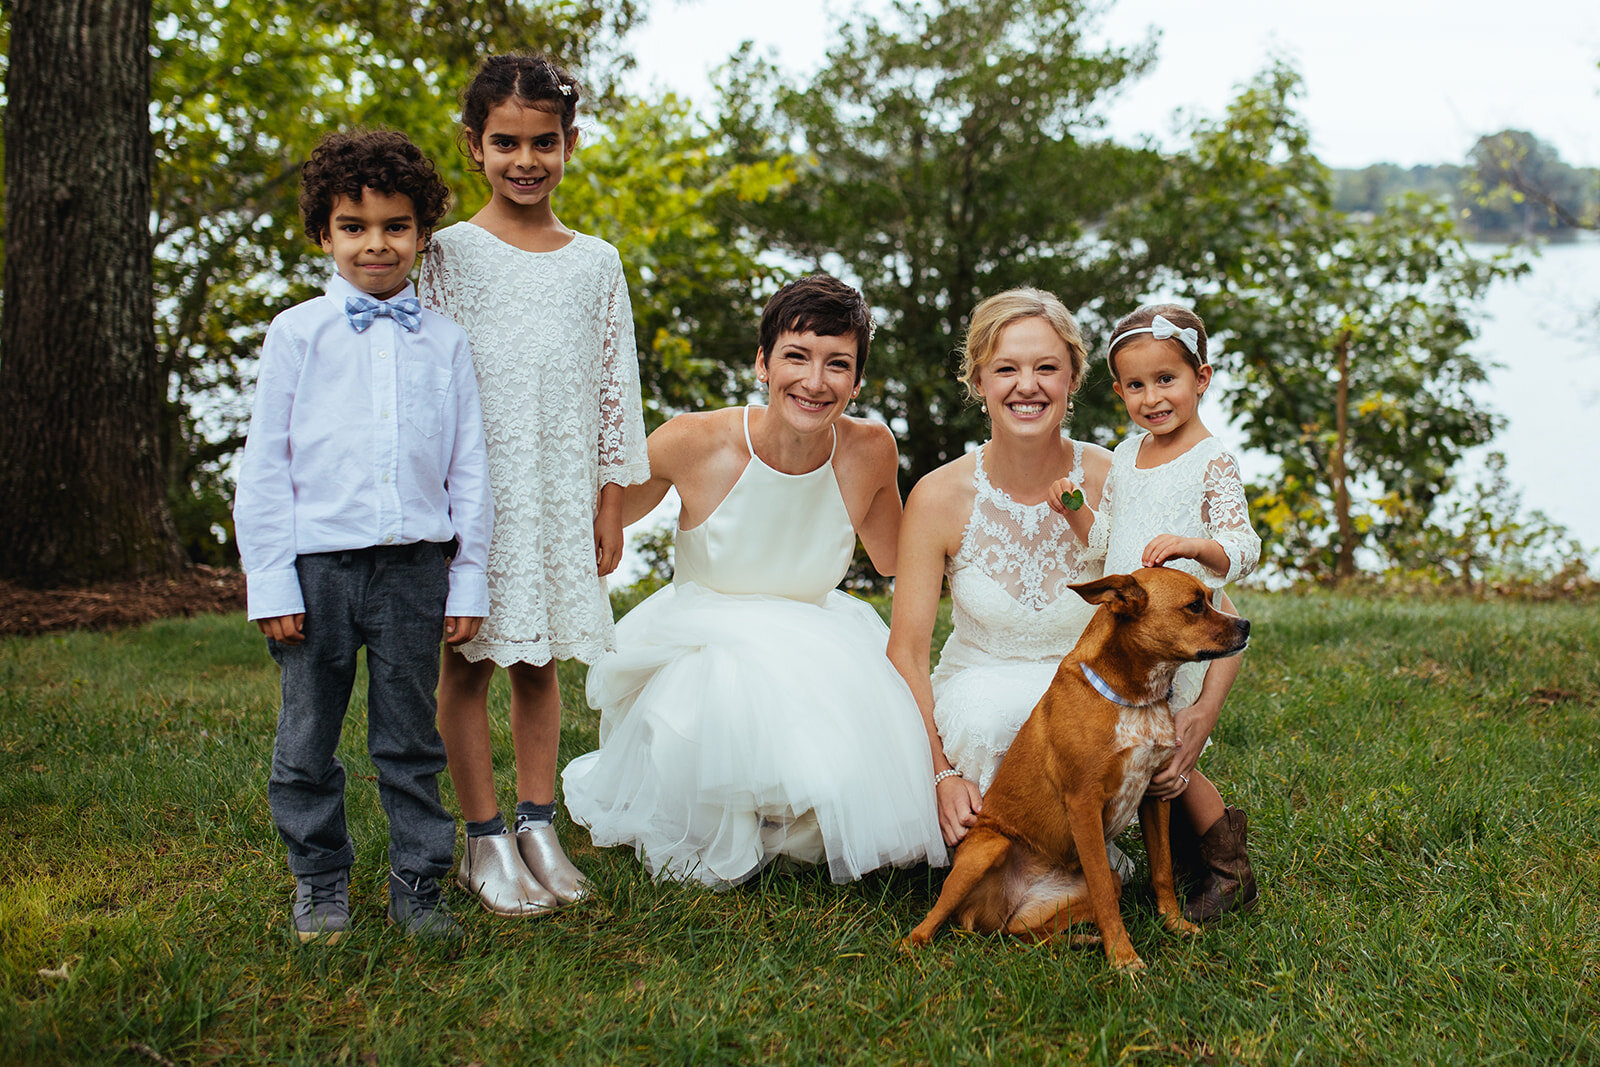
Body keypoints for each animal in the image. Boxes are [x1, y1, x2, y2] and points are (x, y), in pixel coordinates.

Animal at [908, 572, 1241, 972]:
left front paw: (1175, 925)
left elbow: (1162, 872)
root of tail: (987, 917)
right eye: (1194, 606)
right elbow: (1103, 897)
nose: (1246, 625)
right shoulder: (1084, 805)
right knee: (925, 928)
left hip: (1049, 904)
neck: (1133, 698)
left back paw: (1080, 941)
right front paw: (1123, 958)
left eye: (1210, 597)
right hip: (988, 848)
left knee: (1021, 934)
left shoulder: (1156, 794)